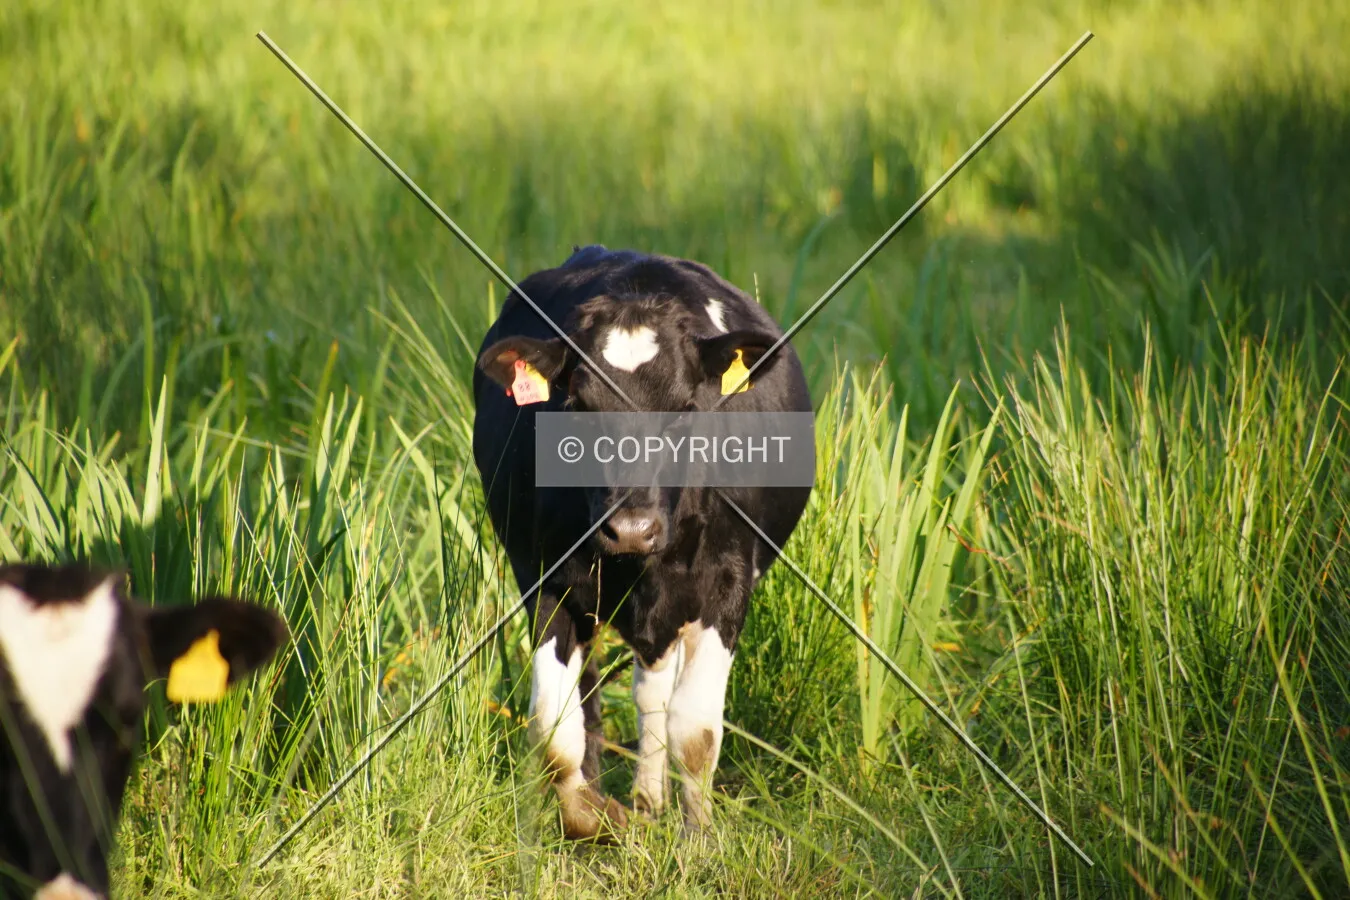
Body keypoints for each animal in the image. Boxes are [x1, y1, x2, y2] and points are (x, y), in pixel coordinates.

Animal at [472, 245, 813, 840]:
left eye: (685, 408)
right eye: (578, 406)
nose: (630, 528)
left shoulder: (727, 582)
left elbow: (695, 731)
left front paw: (698, 838)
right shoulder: (546, 580)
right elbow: (556, 729)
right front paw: (587, 815)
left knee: (655, 695)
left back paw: (653, 798)